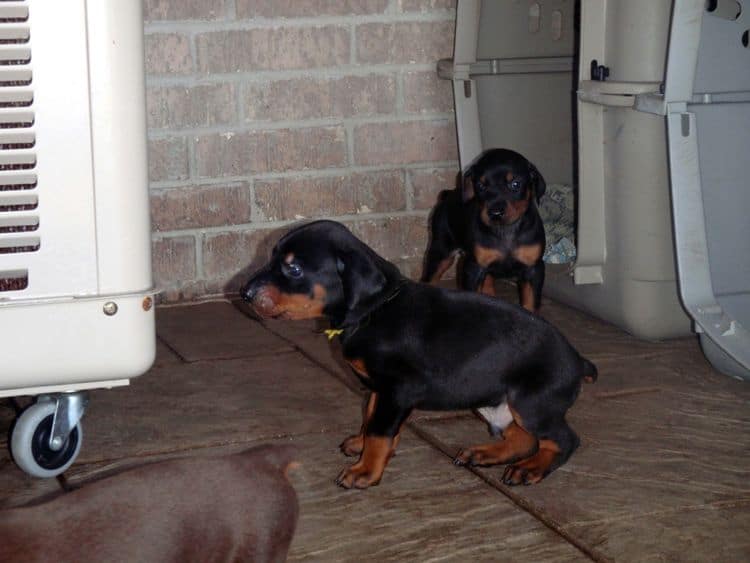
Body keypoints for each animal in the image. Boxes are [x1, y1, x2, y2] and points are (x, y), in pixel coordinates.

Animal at [242, 223, 600, 492]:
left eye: (294, 268)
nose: (244, 293)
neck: (374, 311)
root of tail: (578, 360)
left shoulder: (397, 390)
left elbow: (380, 431)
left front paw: (365, 471)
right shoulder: (380, 389)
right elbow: (371, 418)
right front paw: (361, 445)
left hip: (530, 402)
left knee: (564, 440)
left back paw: (531, 469)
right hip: (495, 401)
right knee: (523, 438)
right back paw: (485, 453)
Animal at [420, 148, 548, 312]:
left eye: (515, 184)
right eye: (480, 186)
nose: (495, 213)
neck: (505, 231)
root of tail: (448, 194)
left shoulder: (534, 268)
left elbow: (530, 301)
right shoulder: (473, 268)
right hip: (441, 251)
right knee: (429, 277)